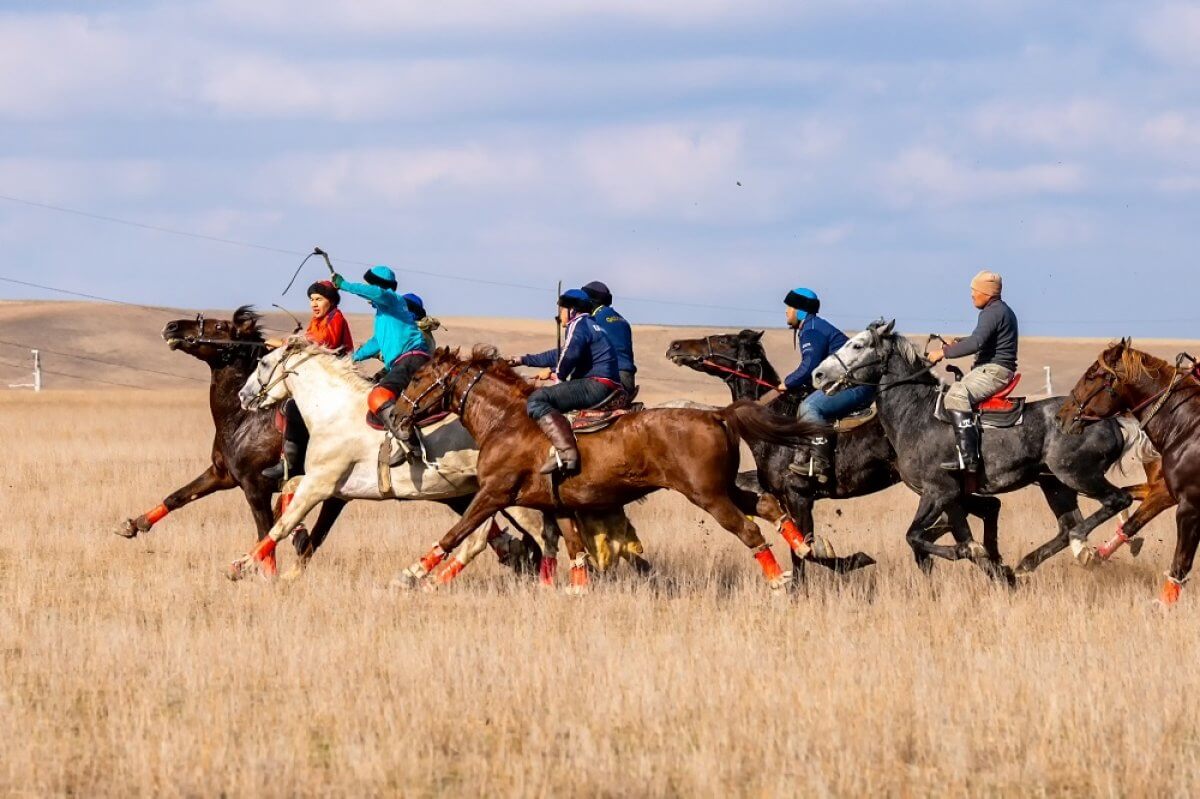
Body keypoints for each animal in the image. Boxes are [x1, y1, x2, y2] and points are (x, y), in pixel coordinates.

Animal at [391, 345, 825, 587]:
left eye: (417, 376)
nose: (395, 416)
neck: (507, 421)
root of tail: (717, 413)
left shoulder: (493, 493)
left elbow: (455, 534)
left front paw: (411, 573)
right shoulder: (558, 505)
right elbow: (575, 549)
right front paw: (577, 589)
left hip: (708, 495)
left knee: (749, 530)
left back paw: (780, 580)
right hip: (722, 488)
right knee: (766, 505)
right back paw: (802, 547)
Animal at [811, 316, 1137, 578]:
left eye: (858, 345)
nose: (818, 374)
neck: (916, 412)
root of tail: (1111, 421)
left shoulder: (938, 491)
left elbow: (915, 535)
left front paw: (973, 551)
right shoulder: (953, 498)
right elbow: (941, 535)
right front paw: (987, 559)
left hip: (1078, 475)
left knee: (1115, 501)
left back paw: (1078, 546)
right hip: (1055, 484)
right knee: (1067, 526)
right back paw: (1027, 563)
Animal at [1056, 338, 1195, 599]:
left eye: (1092, 375)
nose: (1062, 416)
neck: (1184, 426)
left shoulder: (1178, 500)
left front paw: (1086, 551)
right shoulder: (1162, 489)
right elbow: (1128, 502)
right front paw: (1098, 551)